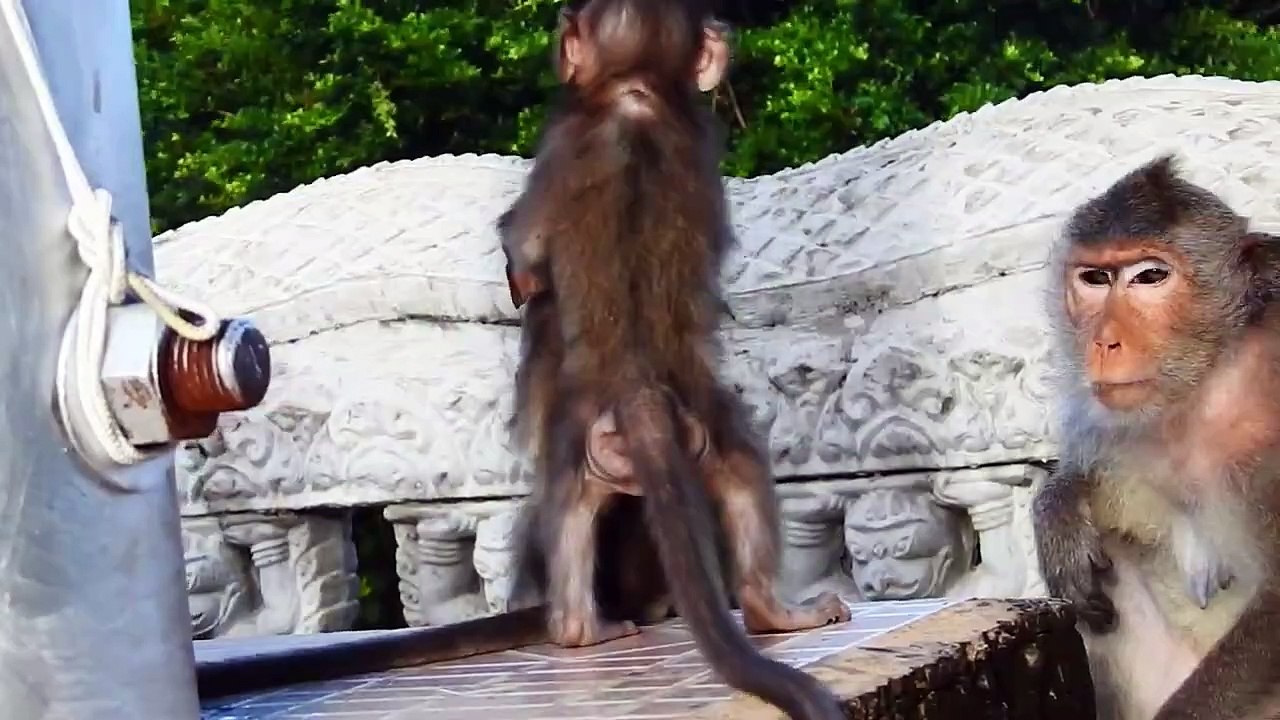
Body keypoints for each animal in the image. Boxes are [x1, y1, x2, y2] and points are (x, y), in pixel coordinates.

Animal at [498, 1, 852, 719]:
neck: (635, 92)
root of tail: (639, 390)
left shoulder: (558, 142)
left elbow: (524, 254)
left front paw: (524, 277)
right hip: (705, 419)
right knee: (745, 469)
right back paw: (775, 613)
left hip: (580, 434)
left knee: (562, 505)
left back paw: (582, 629)